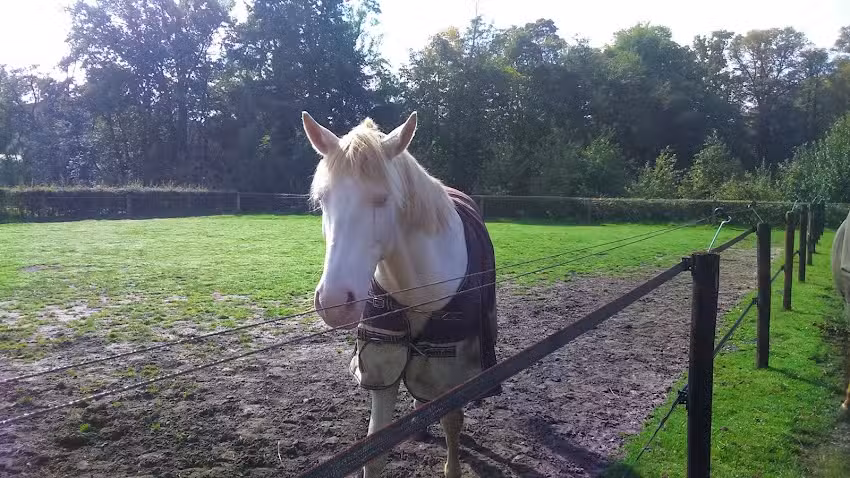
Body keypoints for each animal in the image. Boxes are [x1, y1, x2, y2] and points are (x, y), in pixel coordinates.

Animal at [302, 111, 501, 477]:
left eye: (382, 199)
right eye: (322, 200)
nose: (334, 304)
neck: (418, 287)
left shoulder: (448, 372)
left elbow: (452, 422)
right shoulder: (384, 363)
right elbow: (374, 449)